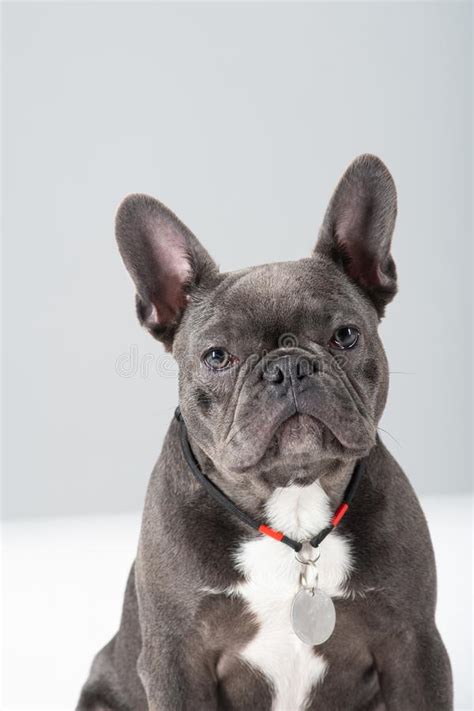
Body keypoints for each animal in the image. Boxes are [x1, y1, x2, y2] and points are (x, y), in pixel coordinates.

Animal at [77, 153, 452, 708]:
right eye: (217, 357)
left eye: (345, 335)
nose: (288, 367)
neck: (293, 513)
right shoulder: (175, 661)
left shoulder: (414, 645)